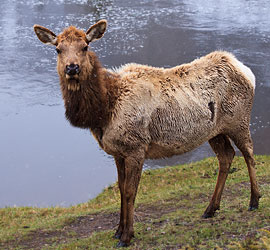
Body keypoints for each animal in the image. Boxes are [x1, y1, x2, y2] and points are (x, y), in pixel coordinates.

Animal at [32, 20, 260, 247]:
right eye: (58, 49)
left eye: (85, 46)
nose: (72, 68)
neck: (104, 112)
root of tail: (246, 71)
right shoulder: (118, 152)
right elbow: (121, 189)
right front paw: (118, 231)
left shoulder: (136, 147)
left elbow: (130, 191)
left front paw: (127, 236)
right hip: (214, 131)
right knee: (226, 156)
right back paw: (211, 209)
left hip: (239, 120)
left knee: (249, 153)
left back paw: (254, 200)